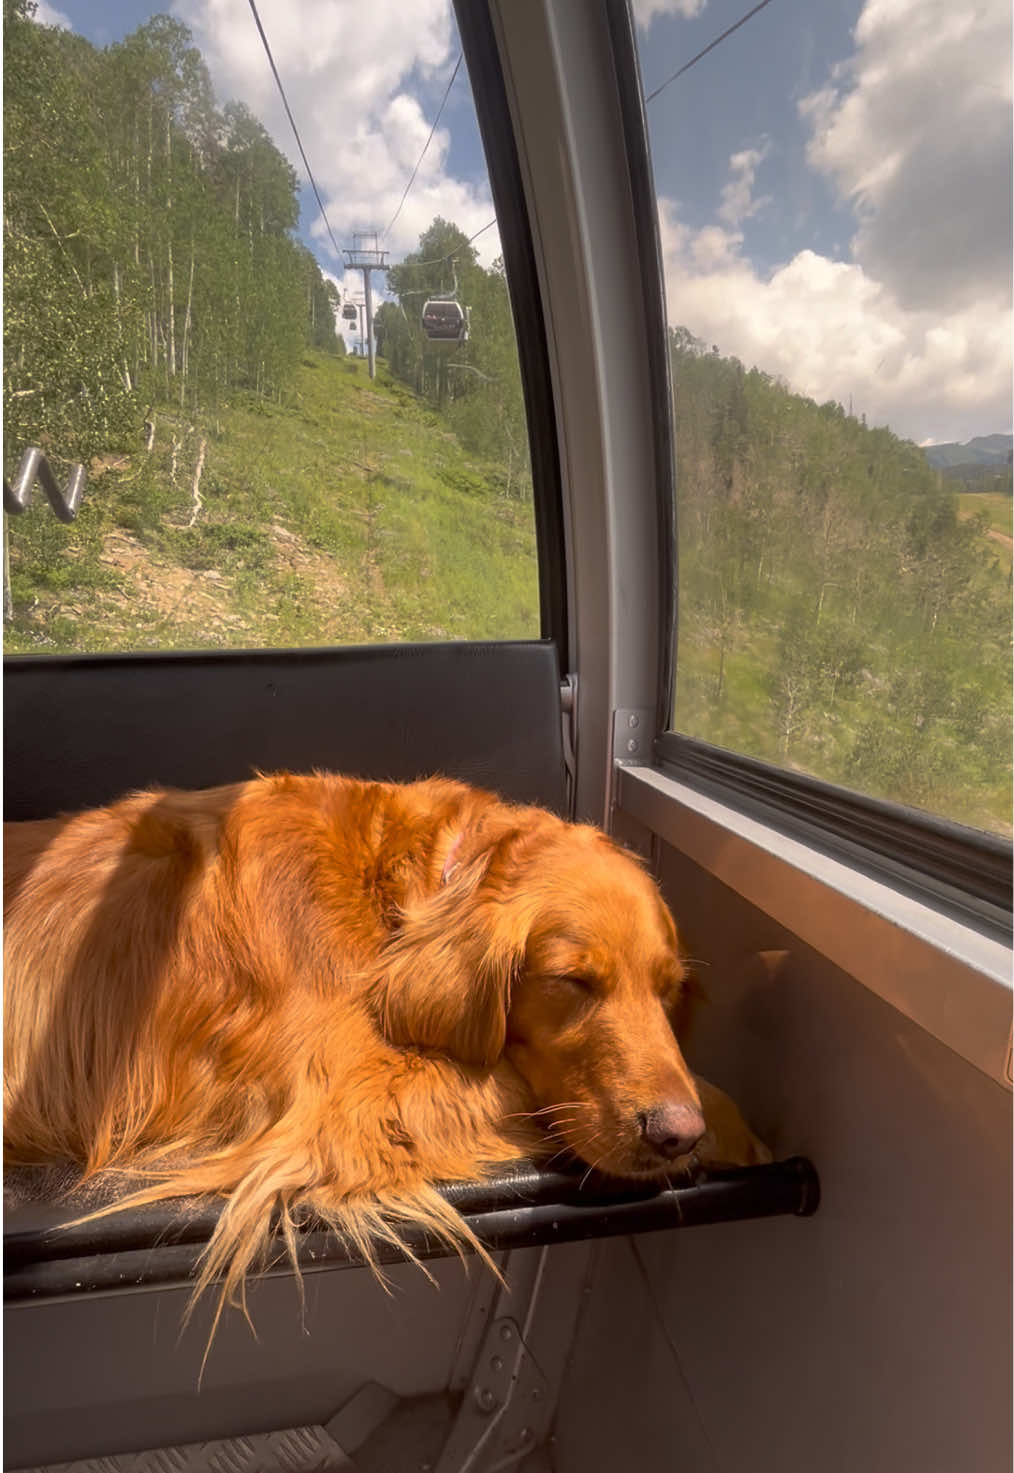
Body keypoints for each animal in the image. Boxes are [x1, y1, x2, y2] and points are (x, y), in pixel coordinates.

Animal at [1, 771, 766, 1313]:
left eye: (669, 988)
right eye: (572, 980)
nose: (676, 1133)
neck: (410, 886)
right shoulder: (347, 1107)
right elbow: (515, 1083)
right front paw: (729, 1125)